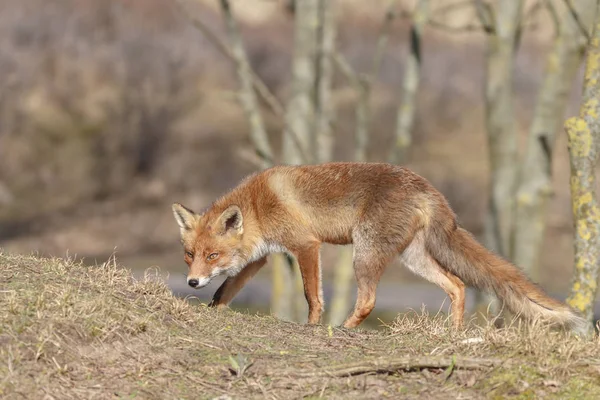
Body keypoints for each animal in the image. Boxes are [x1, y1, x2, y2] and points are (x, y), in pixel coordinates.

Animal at [171, 161, 584, 332]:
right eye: (190, 255)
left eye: (212, 255)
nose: (191, 282)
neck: (258, 207)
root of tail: (428, 188)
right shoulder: (262, 256)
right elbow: (227, 289)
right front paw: (212, 309)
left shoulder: (306, 244)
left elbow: (312, 295)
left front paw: (313, 325)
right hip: (414, 259)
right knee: (457, 285)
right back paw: (453, 332)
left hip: (365, 254)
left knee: (368, 301)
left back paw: (344, 328)